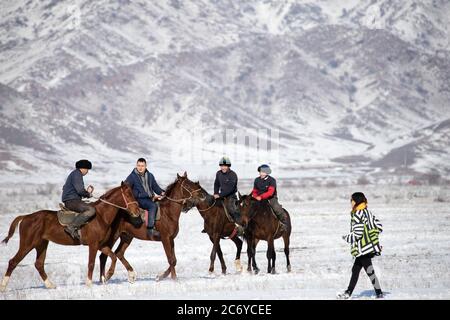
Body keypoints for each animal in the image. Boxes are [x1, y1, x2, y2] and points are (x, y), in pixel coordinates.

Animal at [0, 181, 141, 292]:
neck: (101, 216)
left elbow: (113, 257)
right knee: (13, 262)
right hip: (27, 244)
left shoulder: (101, 245)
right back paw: (3, 287)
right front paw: (89, 284)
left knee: (39, 264)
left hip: (41, 244)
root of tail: (26, 217)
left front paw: (108, 275)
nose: (137, 212)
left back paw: (50, 285)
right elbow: (91, 263)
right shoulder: (93, 245)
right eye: (128, 194)